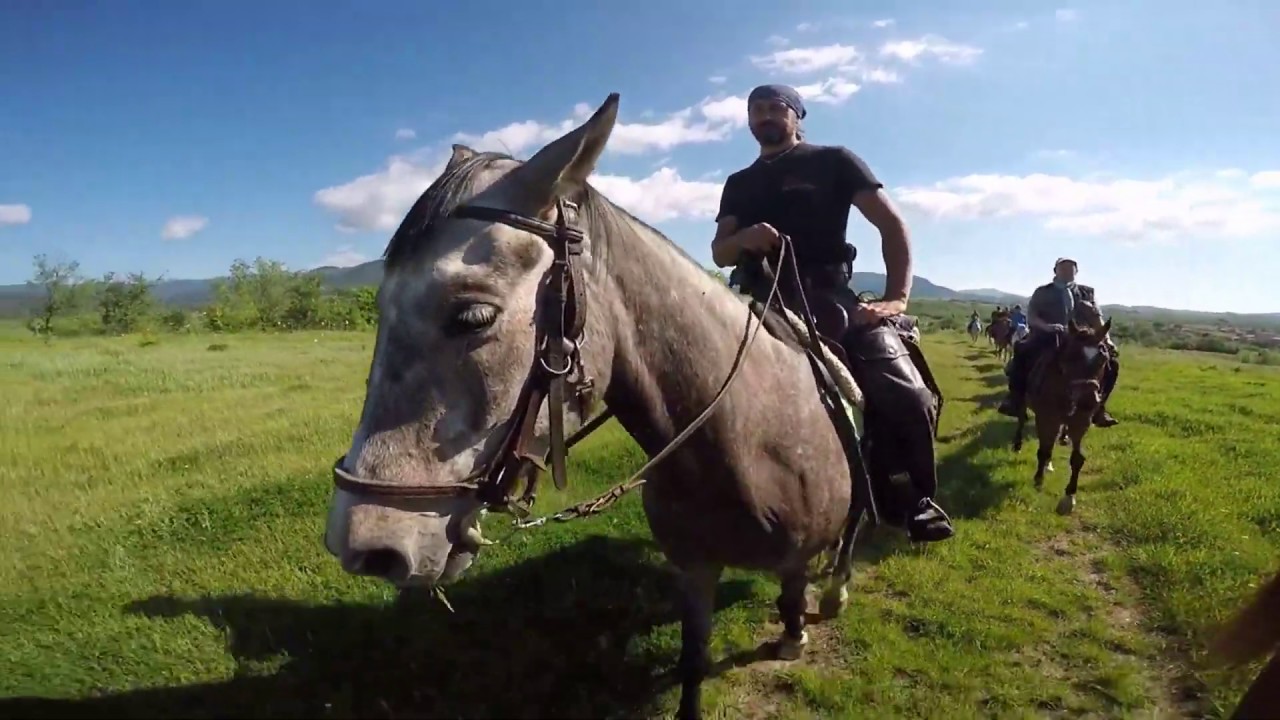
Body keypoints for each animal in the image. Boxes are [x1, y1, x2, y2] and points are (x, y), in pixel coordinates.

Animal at [322, 95, 868, 720]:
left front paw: (795, 630)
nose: (363, 545)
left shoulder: (797, 549)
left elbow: (795, 585)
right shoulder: (694, 568)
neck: (745, 441)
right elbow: (694, 661)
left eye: (473, 317)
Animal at [1010, 304, 1112, 515]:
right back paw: (1018, 444)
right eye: (1071, 356)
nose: (1088, 400)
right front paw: (1038, 480)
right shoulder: (1046, 417)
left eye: (1102, 359)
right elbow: (1043, 450)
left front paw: (1069, 496)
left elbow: (1077, 458)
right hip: (1024, 402)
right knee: (1022, 418)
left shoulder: (1080, 421)